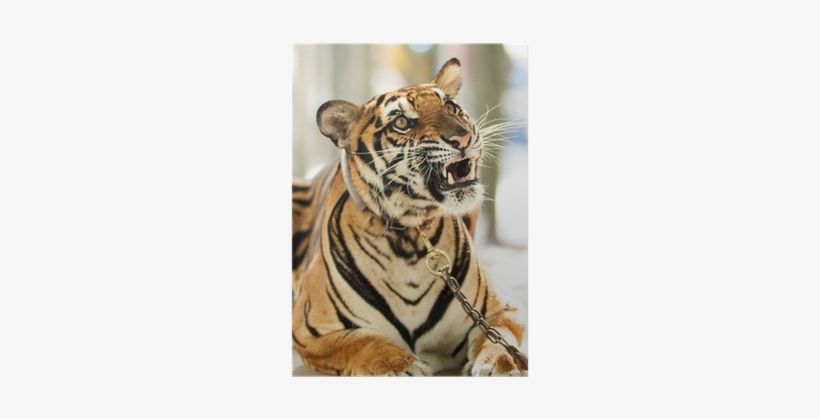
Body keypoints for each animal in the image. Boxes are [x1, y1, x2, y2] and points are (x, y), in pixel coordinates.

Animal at [291, 58, 527, 376]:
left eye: (450, 106)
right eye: (401, 122)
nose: (463, 136)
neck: (410, 237)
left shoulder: (503, 308)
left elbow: (497, 337)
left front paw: (500, 363)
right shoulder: (310, 328)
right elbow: (362, 341)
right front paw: (399, 365)